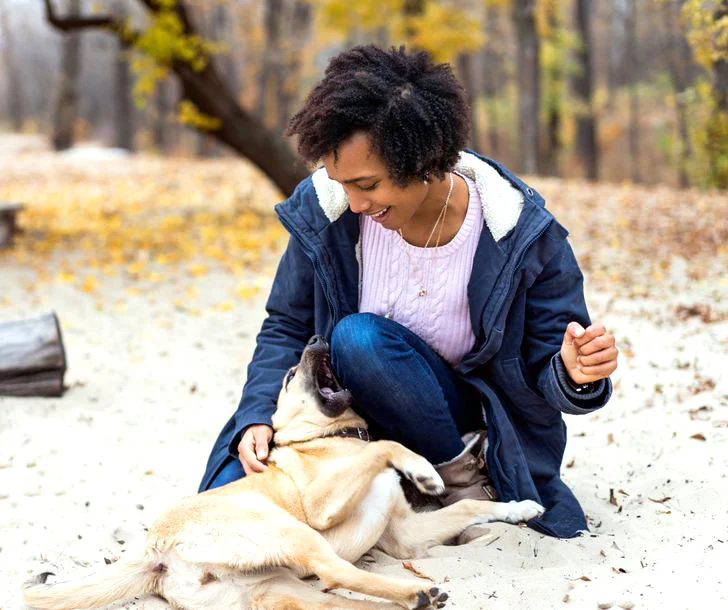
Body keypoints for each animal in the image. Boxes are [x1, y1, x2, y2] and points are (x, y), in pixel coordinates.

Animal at [23, 334, 545, 609]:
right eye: (291, 375)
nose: (315, 337)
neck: (333, 438)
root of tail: (155, 551)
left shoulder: (406, 537)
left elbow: (471, 506)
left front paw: (520, 508)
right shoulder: (320, 506)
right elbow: (390, 445)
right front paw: (422, 471)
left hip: (279, 593)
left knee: (343, 596)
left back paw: (411, 595)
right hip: (293, 532)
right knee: (335, 570)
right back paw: (416, 591)